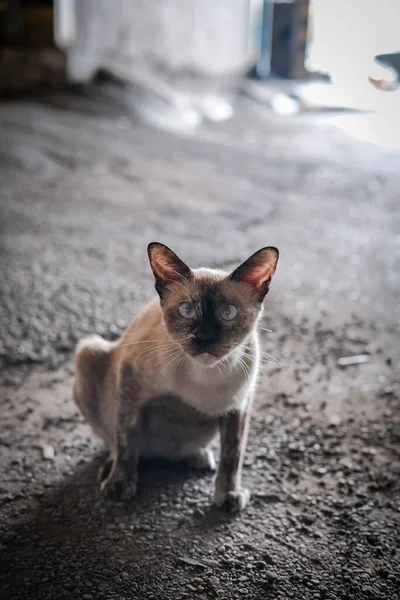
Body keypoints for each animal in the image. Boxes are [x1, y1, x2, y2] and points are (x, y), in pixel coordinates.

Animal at [74, 243, 278, 510]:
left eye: (228, 313)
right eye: (187, 310)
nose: (204, 338)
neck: (206, 376)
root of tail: (159, 454)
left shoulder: (239, 406)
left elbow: (233, 454)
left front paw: (229, 495)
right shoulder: (130, 381)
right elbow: (126, 439)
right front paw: (120, 484)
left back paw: (198, 457)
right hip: (88, 352)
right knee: (117, 442)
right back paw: (111, 469)